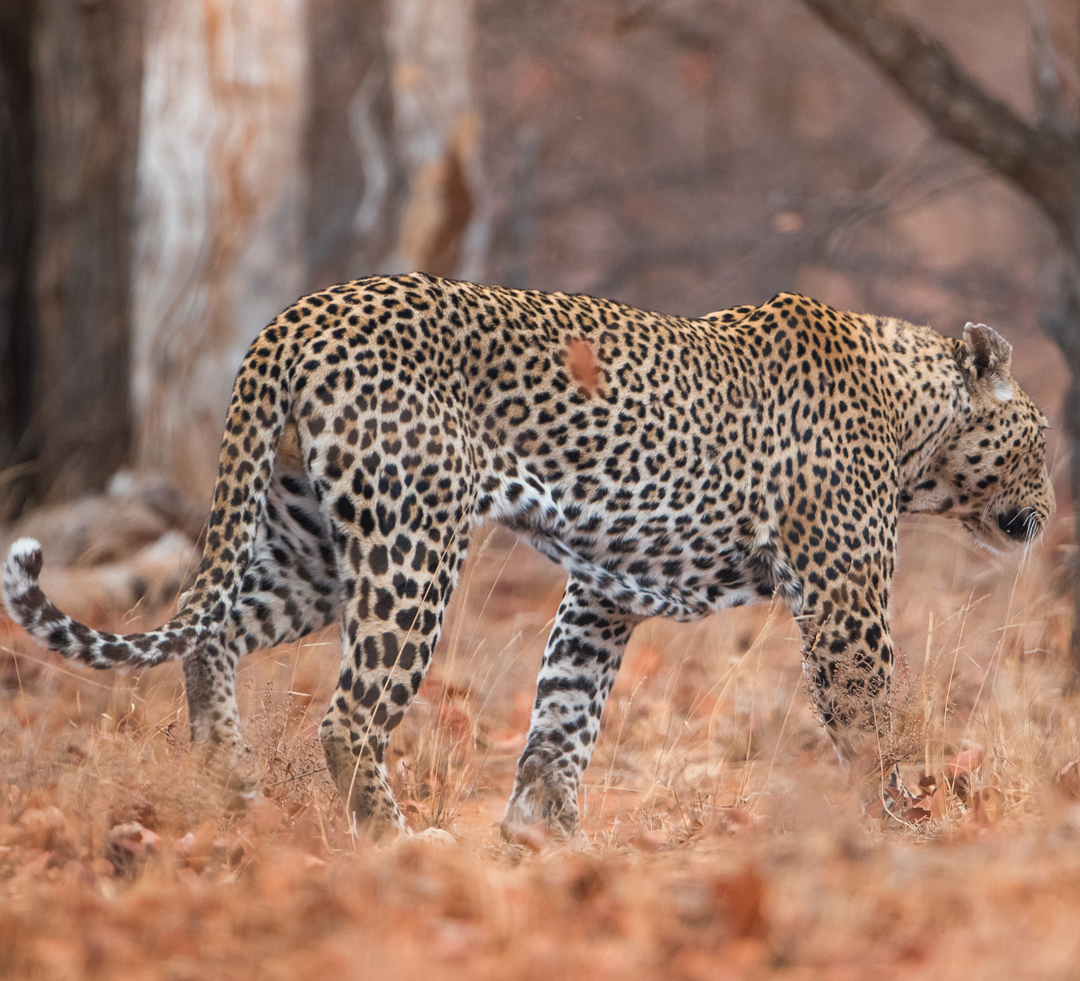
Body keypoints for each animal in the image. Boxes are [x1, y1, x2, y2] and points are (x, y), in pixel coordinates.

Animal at [0, 272, 1054, 838]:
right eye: (1043, 441)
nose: (1047, 512)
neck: (918, 425)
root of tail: (298, 315)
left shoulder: (602, 592)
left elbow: (564, 716)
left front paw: (542, 841)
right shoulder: (844, 599)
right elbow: (871, 719)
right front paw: (904, 823)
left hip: (311, 548)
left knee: (210, 636)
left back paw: (232, 782)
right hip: (412, 544)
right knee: (348, 716)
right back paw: (395, 842)